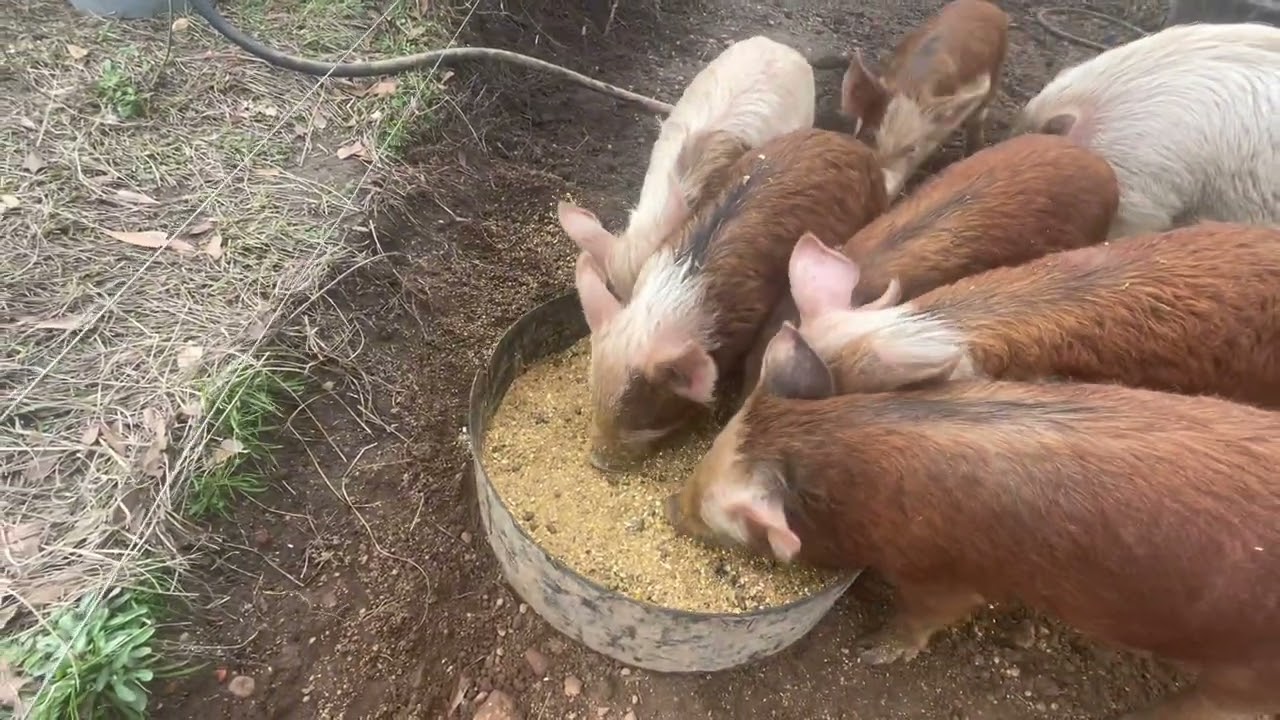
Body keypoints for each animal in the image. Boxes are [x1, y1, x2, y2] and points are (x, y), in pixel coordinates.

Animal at [667, 323, 1280, 720]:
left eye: (716, 513)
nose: (673, 509)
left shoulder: (945, 572)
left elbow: (926, 615)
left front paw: (870, 650)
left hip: (1247, 668)